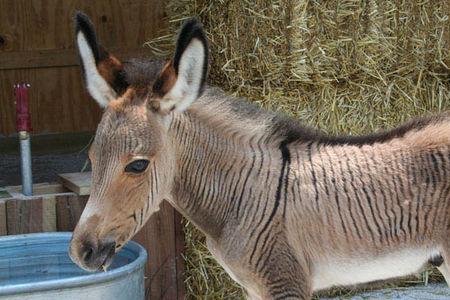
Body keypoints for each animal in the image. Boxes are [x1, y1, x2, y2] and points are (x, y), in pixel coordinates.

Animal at [68, 12, 450, 300]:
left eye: (137, 165)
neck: (243, 193)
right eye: (93, 158)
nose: (79, 252)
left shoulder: (285, 283)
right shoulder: (255, 289)